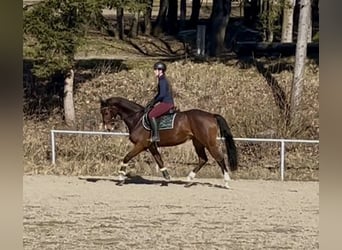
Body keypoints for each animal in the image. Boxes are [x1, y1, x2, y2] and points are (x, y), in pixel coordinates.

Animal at [100, 95, 236, 188]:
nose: (108, 128)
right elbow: (159, 160)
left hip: (209, 142)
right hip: (197, 142)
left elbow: (127, 157)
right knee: (203, 159)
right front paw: (167, 178)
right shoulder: (151, 146)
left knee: (219, 158)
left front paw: (120, 177)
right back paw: (189, 180)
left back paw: (226, 182)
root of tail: (211, 115)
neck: (137, 118)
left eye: (106, 112)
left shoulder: (141, 145)